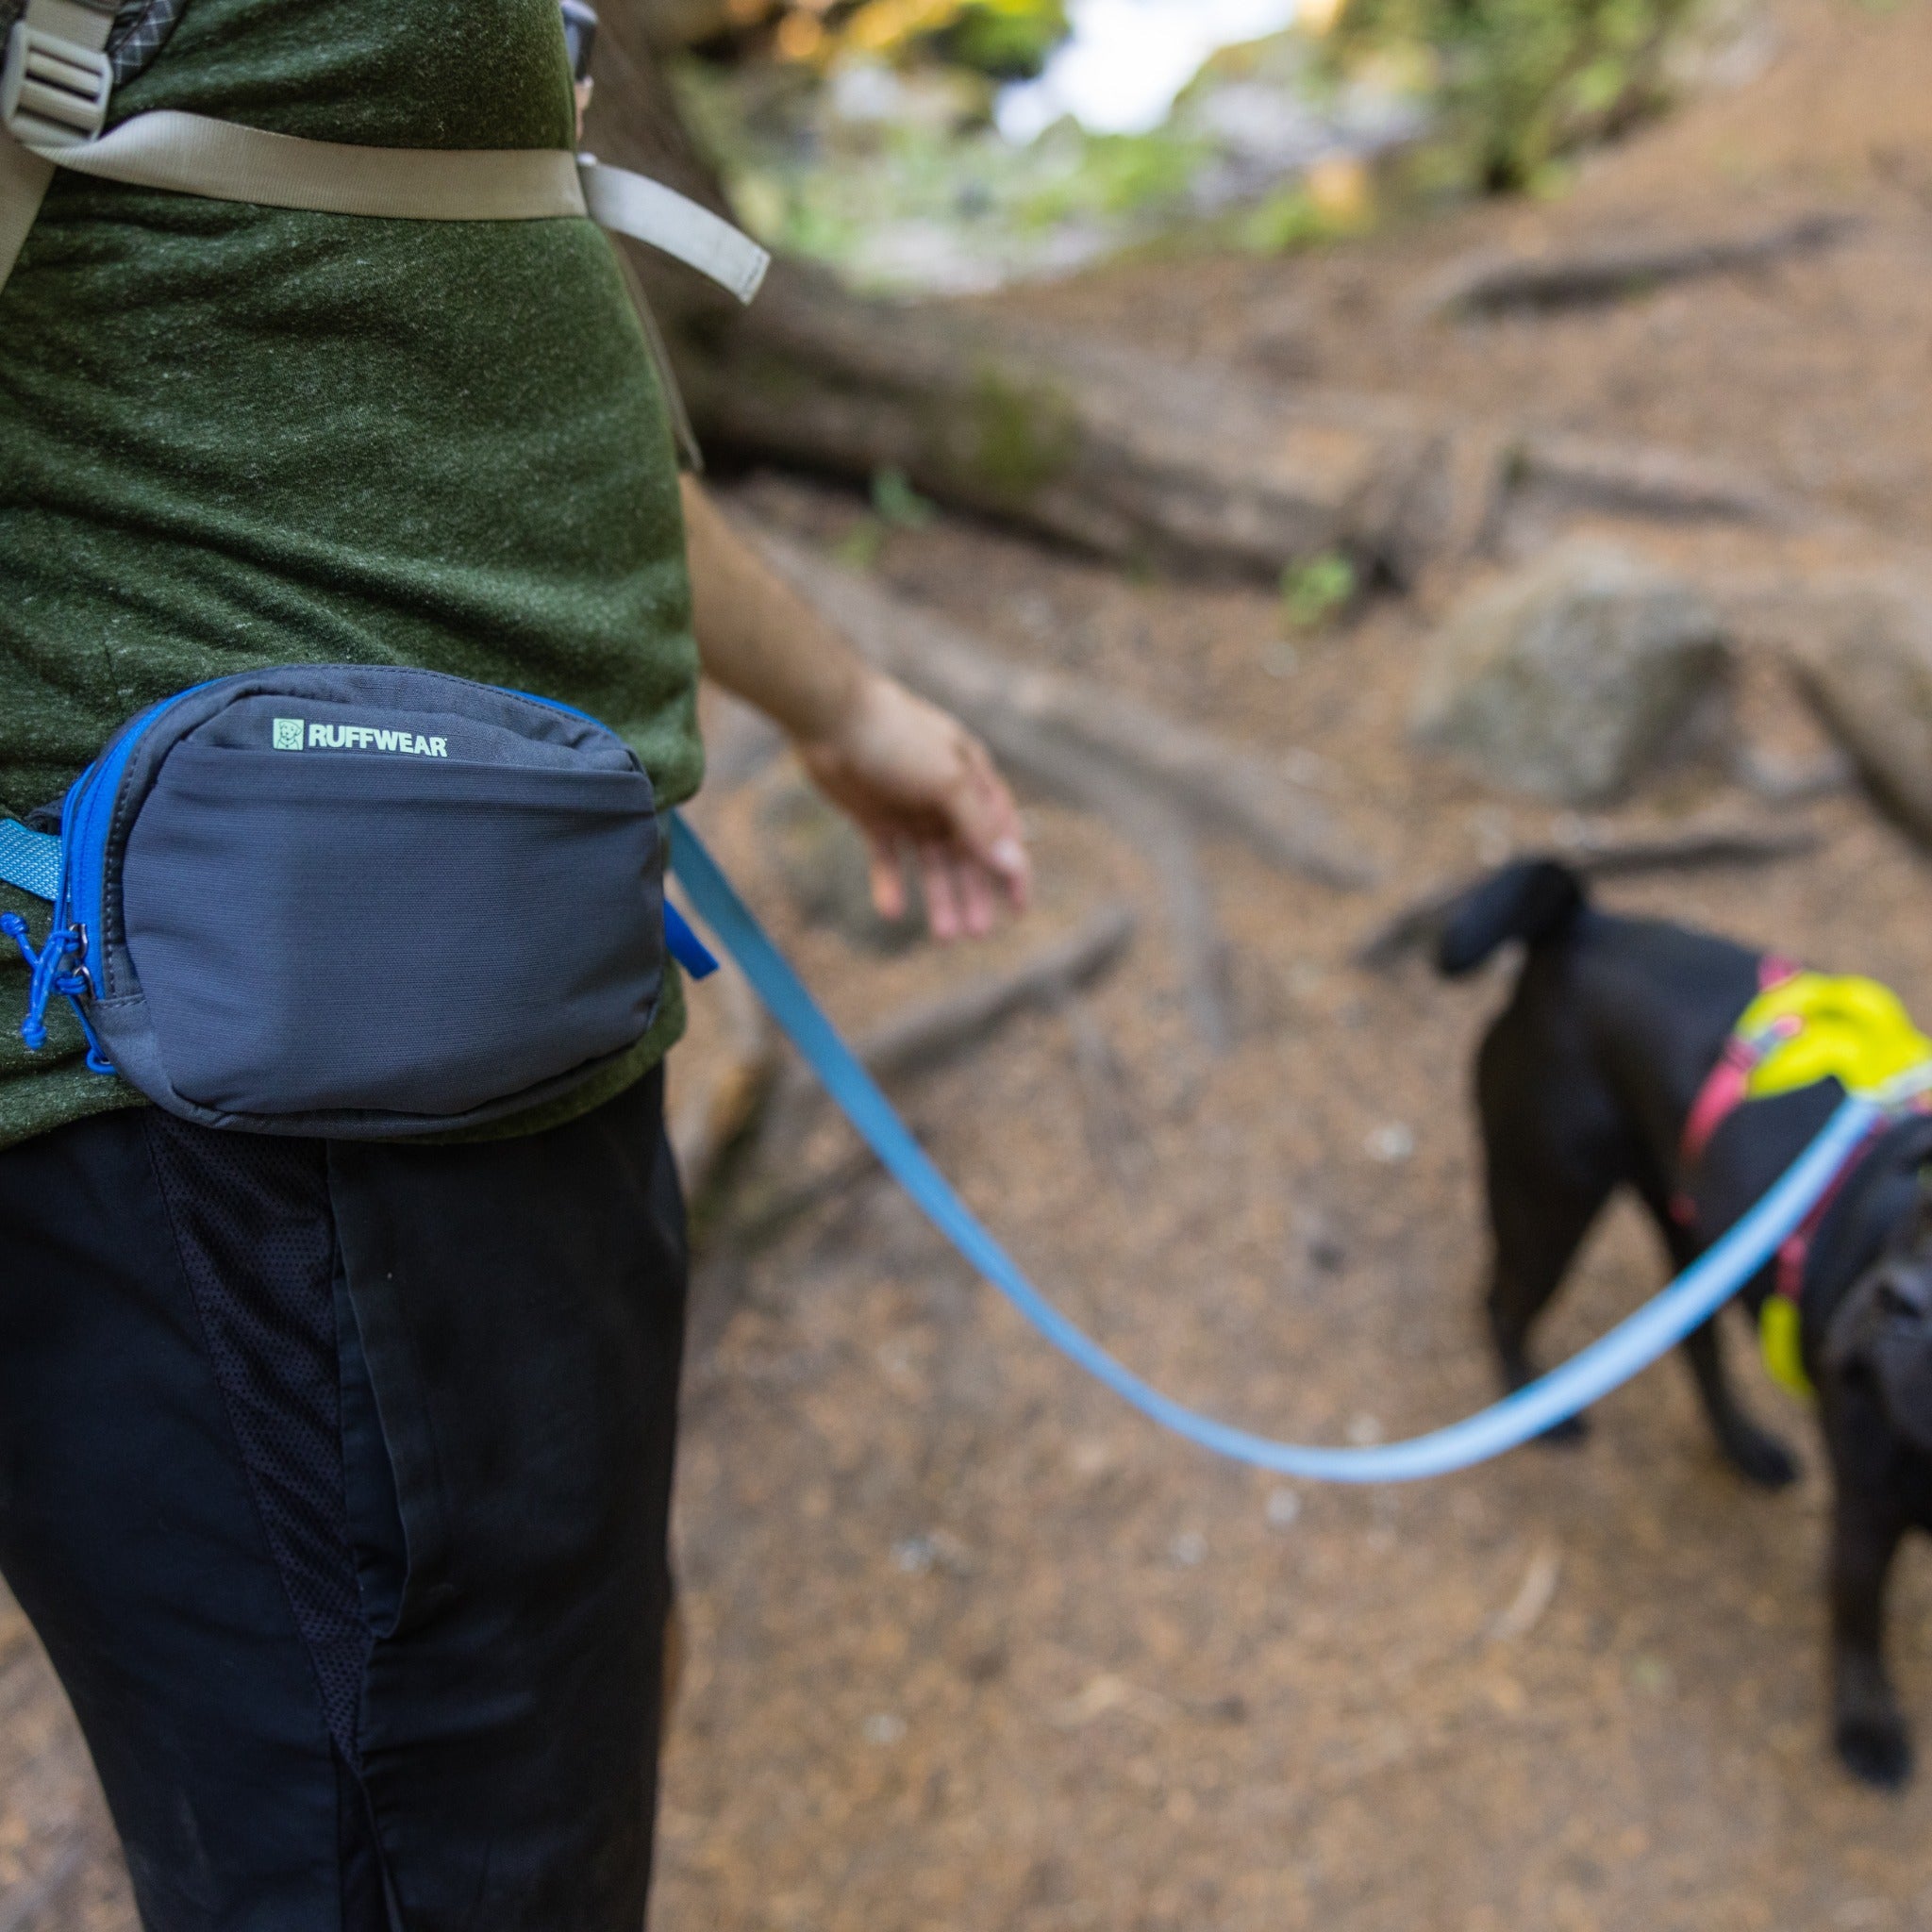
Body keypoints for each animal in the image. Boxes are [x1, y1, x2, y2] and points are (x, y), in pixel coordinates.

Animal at [1444, 869, 1932, 1785]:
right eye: (1919, 1212)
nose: (1900, 1298)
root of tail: (1581, 928)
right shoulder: (1868, 1510)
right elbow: (1858, 1622)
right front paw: (1866, 1727)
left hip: (1696, 1240)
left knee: (1694, 1348)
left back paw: (1746, 1448)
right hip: (1550, 1203)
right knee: (1503, 1304)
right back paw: (1539, 1411)